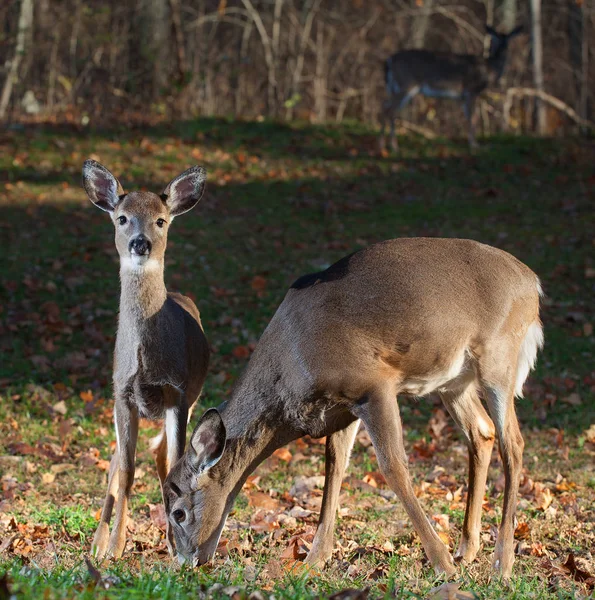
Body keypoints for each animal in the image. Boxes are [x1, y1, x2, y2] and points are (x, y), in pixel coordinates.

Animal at [82, 161, 211, 564]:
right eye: (122, 218)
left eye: (161, 220)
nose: (141, 243)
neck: (145, 360)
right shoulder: (121, 394)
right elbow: (124, 471)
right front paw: (114, 546)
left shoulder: (178, 394)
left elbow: (175, 466)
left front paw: (173, 543)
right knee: (115, 461)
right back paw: (96, 541)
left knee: (160, 454)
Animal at [161, 237, 544, 580]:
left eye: (178, 513)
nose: (185, 562)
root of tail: (533, 283)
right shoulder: (341, 409)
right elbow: (335, 468)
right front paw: (313, 560)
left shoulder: (372, 384)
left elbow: (393, 468)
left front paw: (442, 564)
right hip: (454, 381)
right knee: (482, 431)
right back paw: (468, 549)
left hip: (498, 356)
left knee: (514, 443)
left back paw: (501, 564)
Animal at [380, 25, 524, 151]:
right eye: (496, 40)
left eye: (507, 41)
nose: (503, 50)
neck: (489, 69)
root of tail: (389, 61)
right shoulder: (471, 90)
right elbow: (473, 117)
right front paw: (474, 145)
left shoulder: (463, 96)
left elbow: (470, 116)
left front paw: (473, 143)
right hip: (406, 83)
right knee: (390, 111)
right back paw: (393, 146)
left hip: (394, 87)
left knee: (385, 107)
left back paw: (383, 145)